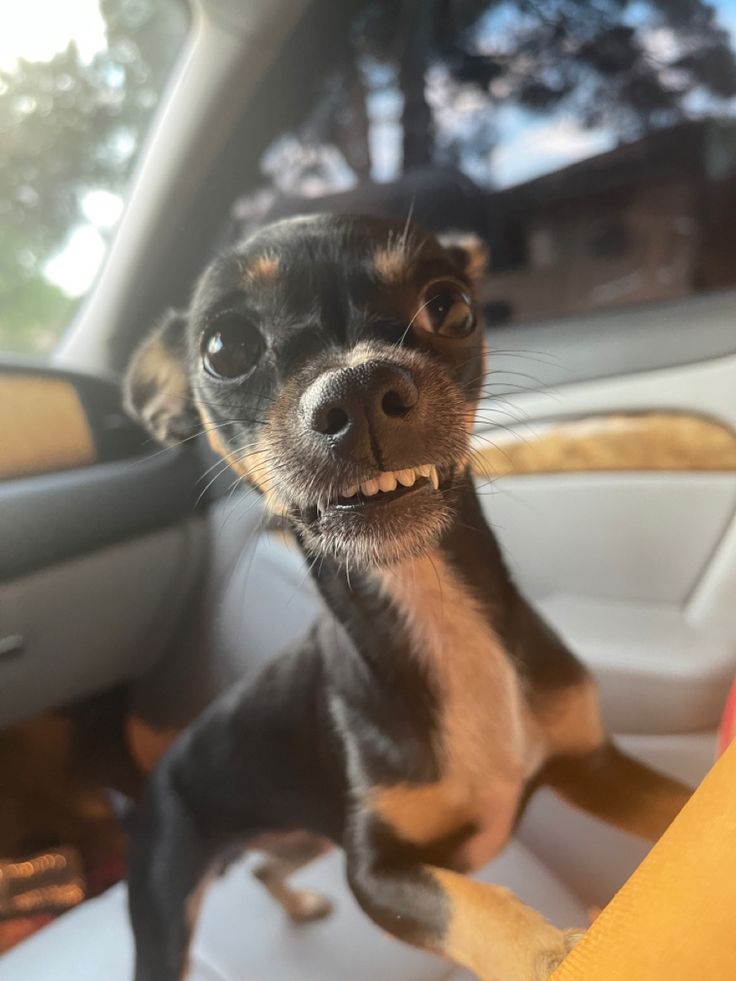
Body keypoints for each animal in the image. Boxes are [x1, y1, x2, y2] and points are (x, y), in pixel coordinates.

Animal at [123, 216, 692, 980]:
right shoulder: (377, 873)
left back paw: (300, 905)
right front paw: (559, 951)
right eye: (225, 348)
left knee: (266, 867)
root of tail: (153, 778)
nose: (359, 387)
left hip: (305, 834)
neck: (430, 604)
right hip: (169, 910)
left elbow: (679, 805)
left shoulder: (594, 766)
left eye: (450, 306)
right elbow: (479, 913)